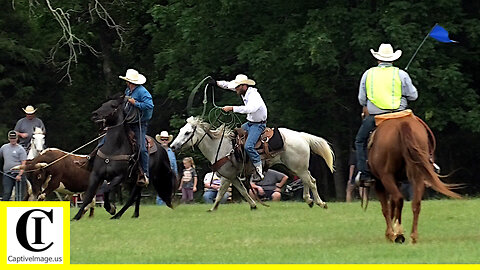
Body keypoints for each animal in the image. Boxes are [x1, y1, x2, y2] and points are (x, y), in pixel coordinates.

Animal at [172, 116, 334, 211]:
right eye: (181, 130)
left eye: (187, 133)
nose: (173, 146)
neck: (220, 146)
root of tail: (301, 136)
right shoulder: (233, 177)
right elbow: (243, 191)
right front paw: (254, 205)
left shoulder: (226, 176)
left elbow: (220, 193)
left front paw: (212, 209)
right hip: (298, 168)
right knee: (308, 180)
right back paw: (309, 200)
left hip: (298, 167)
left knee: (311, 182)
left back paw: (321, 203)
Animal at [370, 113, 460, 244]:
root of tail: (402, 124)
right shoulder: (397, 181)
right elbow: (391, 206)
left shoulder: (379, 182)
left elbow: (386, 208)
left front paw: (390, 234)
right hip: (418, 175)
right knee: (415, 203)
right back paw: (413, 236)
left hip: (386, 176)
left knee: (399, 199)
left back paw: (399, 233)